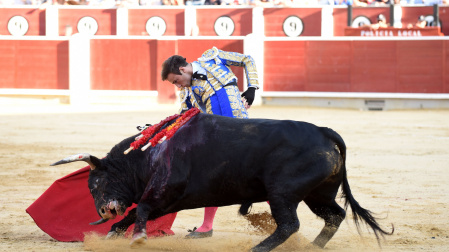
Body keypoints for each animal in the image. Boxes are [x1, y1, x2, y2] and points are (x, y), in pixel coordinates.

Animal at [50, 113, 390, 251]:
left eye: (96, 183)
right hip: (318, 194)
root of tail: (323, 131)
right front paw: (114, 234)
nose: (103, 211)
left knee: (289, 225)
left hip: (282, 194)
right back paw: (312, 247)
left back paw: (257, 248)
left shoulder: (164, 191)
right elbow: (136, 213)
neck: (150, 154)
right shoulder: (168, 200)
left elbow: (141, 209)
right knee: (335, 214)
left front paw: (138, 238)